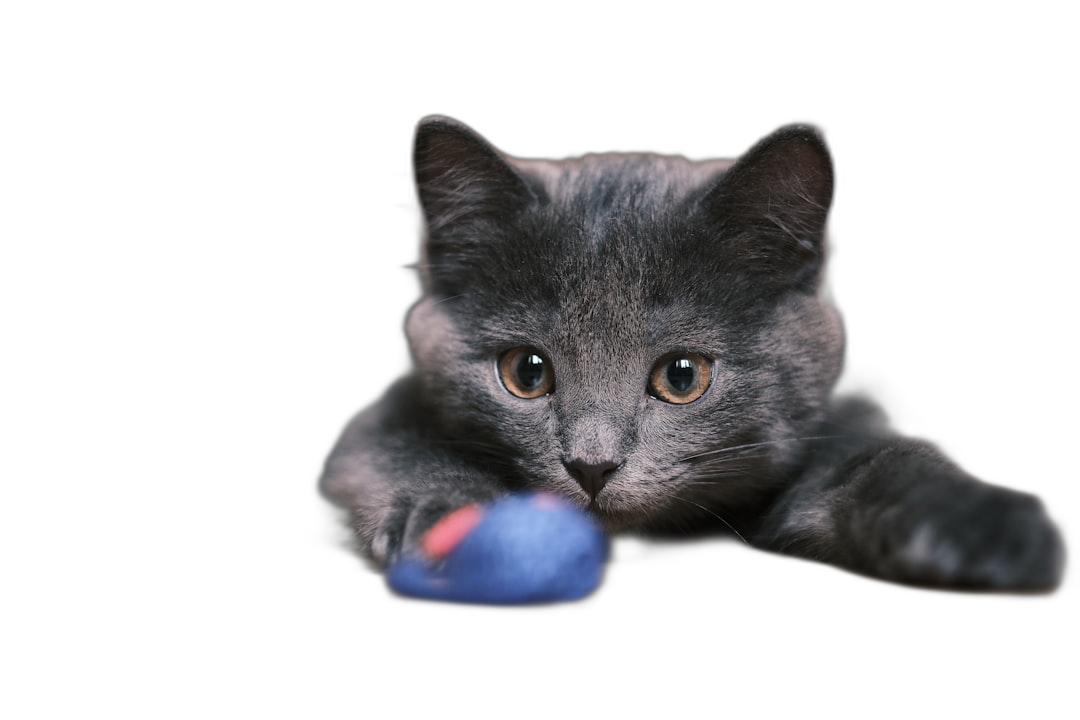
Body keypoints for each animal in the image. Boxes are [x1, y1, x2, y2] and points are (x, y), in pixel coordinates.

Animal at [317, 117, 1062, 595]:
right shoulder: (386, 413)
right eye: (525, 372)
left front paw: (986, 525)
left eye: (683, 377)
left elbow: (878, 460)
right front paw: (444, 515)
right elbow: (387, 445)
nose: (591, 466)